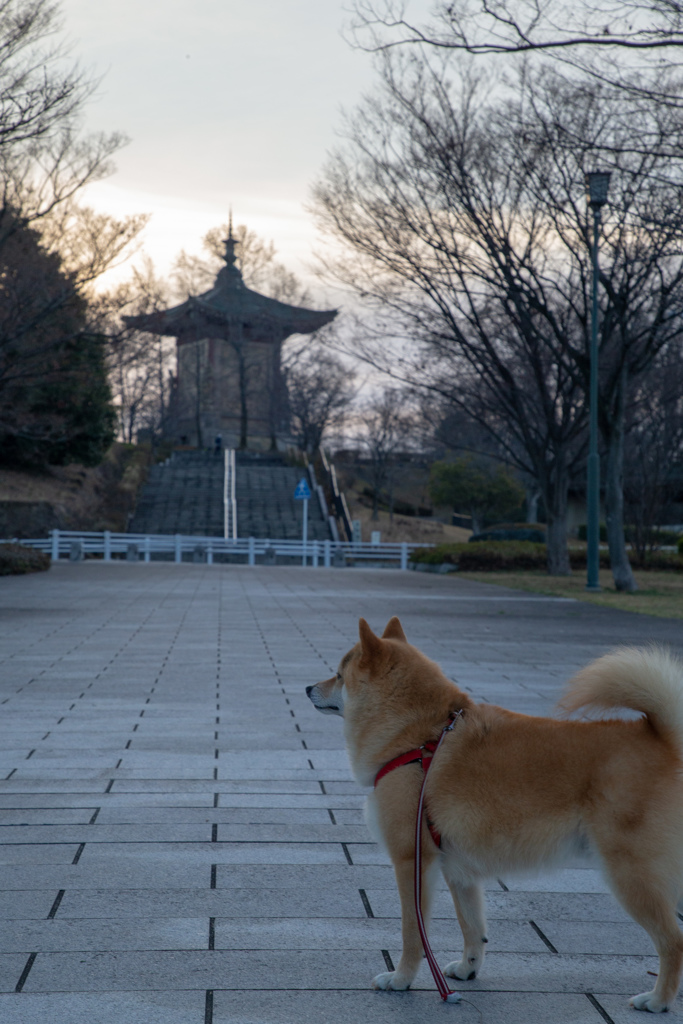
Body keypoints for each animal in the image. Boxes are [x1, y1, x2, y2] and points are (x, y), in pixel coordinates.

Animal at [307, 618, 683, 1011]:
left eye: (338, 676)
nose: (307, 688)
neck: (420, 736)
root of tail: (662, 741)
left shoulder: (412, 861)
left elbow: (413, 933)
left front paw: (401, 979)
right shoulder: (458, 870)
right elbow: (472, 927)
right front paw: (466, 969)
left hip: (632, 874)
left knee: (673, 942)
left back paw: (658, 1000)